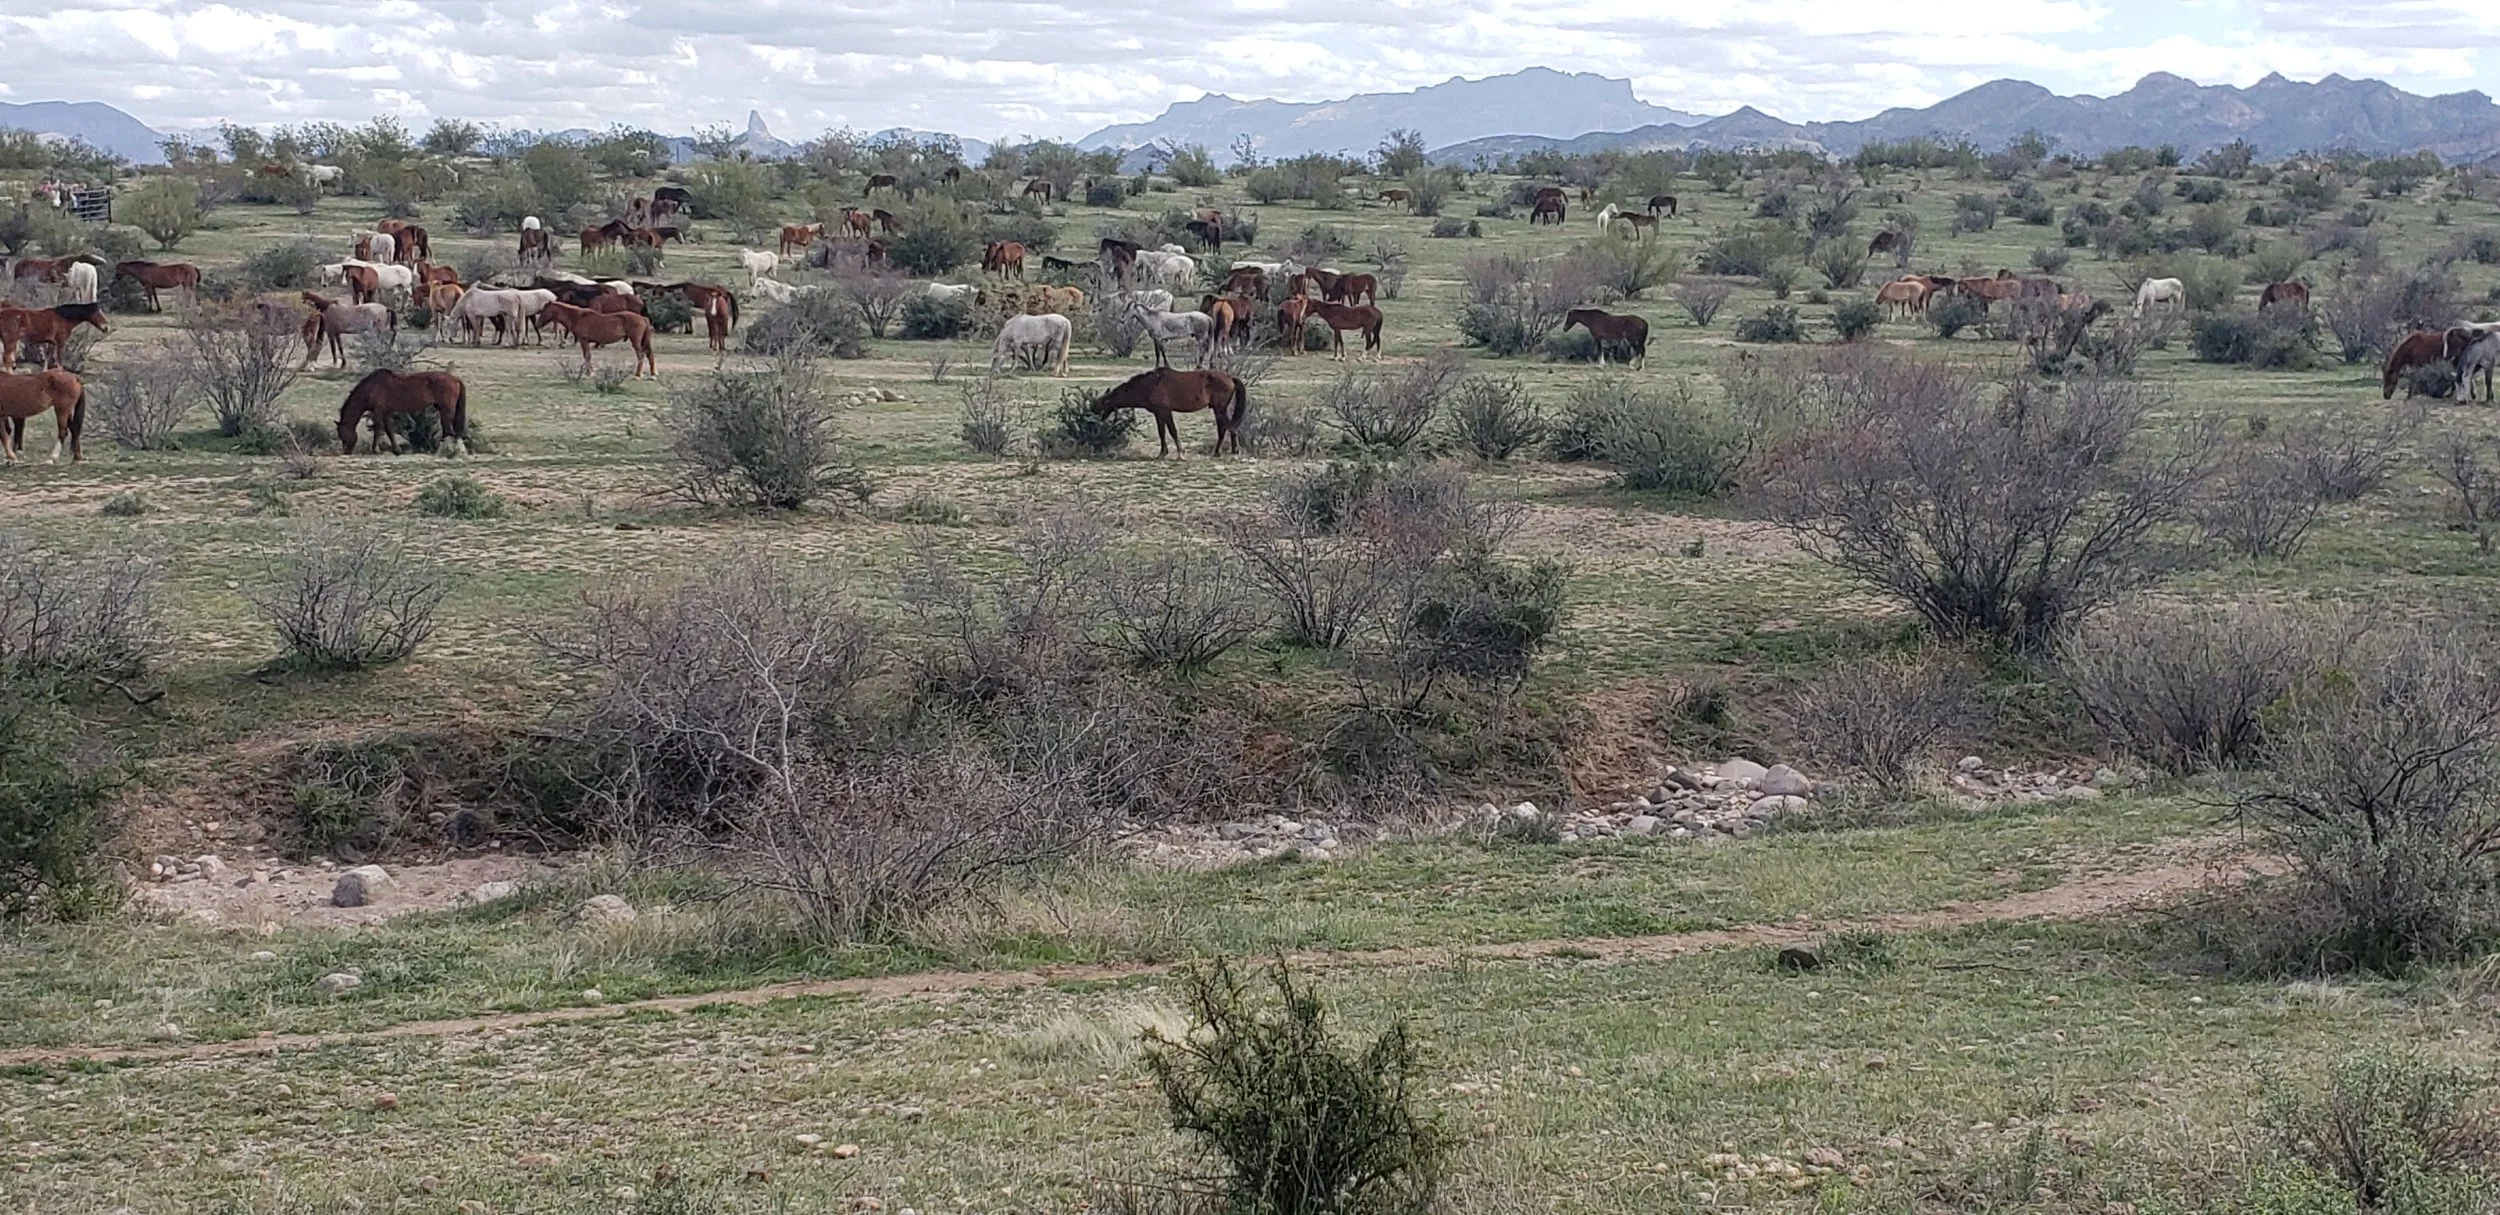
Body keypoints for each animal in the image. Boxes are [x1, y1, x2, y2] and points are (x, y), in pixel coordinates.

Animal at [1093, 368, 1246, 458]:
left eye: (1099, 406)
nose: (1094, 417)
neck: (1149, 385)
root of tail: (1230, 378)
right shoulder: (1158, 414)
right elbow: (1162, 433)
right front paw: (1162, 453)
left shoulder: (1165, 411)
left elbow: (1173, 431)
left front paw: (1180, 453)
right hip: (1220, 409)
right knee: (1229, 427)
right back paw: (1230, 451)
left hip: (1219, 409)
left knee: (1225, 428)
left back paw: (1222, 452)